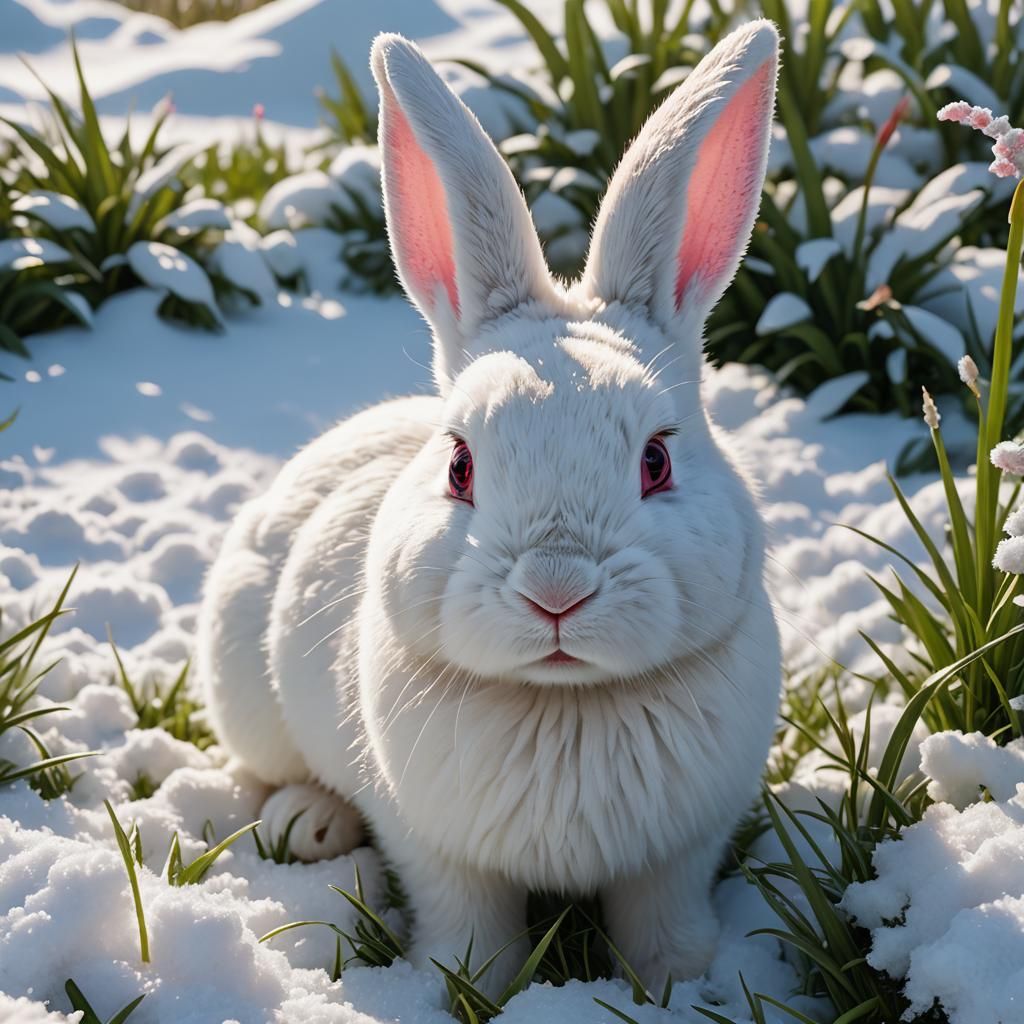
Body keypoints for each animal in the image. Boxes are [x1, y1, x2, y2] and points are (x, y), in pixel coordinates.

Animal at [197, 19, 782, 995]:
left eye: (657, 460)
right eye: (460, 466)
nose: (556, 591)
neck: (565, 703)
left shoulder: (677, 853)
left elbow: (661, 920)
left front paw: (682, 984)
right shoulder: (437, 850)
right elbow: (470, 923)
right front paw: (462, 986)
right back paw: (306, 824)